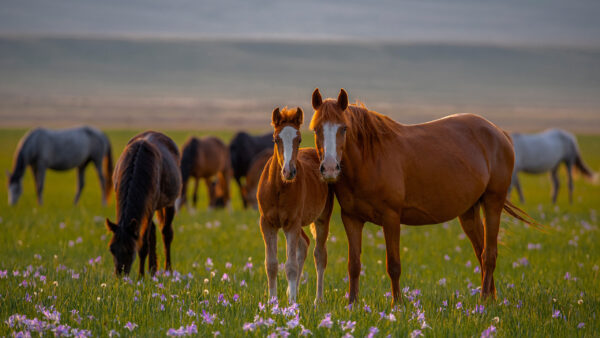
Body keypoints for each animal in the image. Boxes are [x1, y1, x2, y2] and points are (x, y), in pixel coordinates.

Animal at [105, 131, 182, 276]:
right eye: (111, 249)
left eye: (130, 250)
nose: (120, 275)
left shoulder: (151, 206)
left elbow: (143, 245)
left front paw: (140, 276)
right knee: (153, 232)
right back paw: (152, 270)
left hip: (168, 203)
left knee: (166, 233)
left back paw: (167, 270)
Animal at [256, 107, 336, 302]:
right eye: (275, 139)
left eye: (298, 139)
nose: (289, 171)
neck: (278, 188)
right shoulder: (267, 223)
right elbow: (271, 264)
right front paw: (272, 301)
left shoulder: (291, 223)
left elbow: (290, 266)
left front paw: (291, 303)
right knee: (304, 244)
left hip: (321, 218)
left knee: (319, 254)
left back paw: (318, 300)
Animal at [312, 88, 536, 304]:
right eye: (316, 129)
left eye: (343, 128)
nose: (330, 168)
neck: (370, 159)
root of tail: (499, 133)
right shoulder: (351, 218)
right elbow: (354, 265)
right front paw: (353, 304)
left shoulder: (391, 217)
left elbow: (393, 265)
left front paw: (397, 304)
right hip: (469, 212)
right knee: (481, 251)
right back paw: (490, 297)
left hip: (492, 203)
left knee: (489, 254)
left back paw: (483, 301)